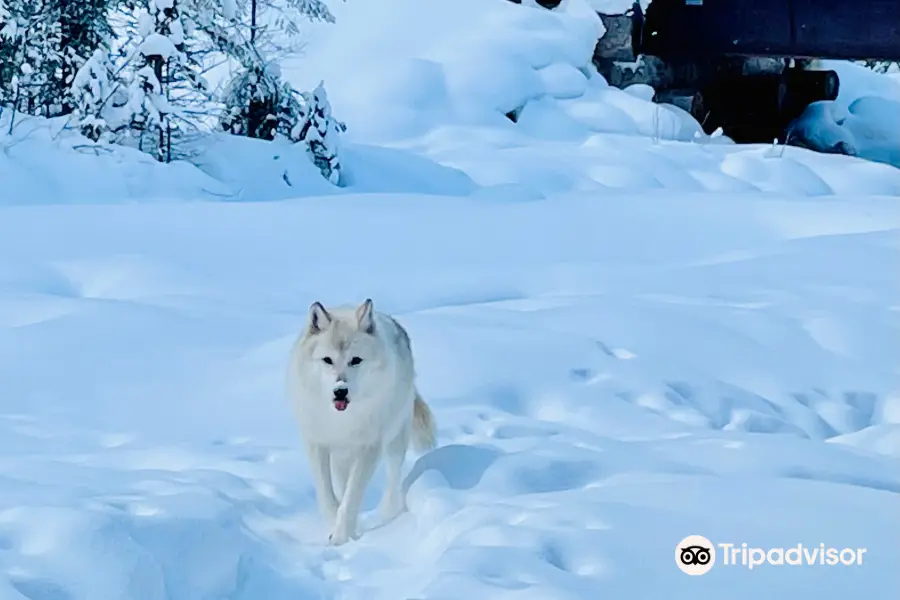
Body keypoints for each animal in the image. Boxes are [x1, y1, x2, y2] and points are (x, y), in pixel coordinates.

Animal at [284, 298, 434, 548]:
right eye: (327, 360)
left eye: (355, 360)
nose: (340, 391)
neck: (342, 420)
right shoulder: (316, 444)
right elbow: (328, 496)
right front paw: (335, 529)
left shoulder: (369, 448)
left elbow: (351, 498)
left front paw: (341, 537)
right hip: (341, 457)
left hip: (395, 440)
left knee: (393, 482)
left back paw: (388, 511)